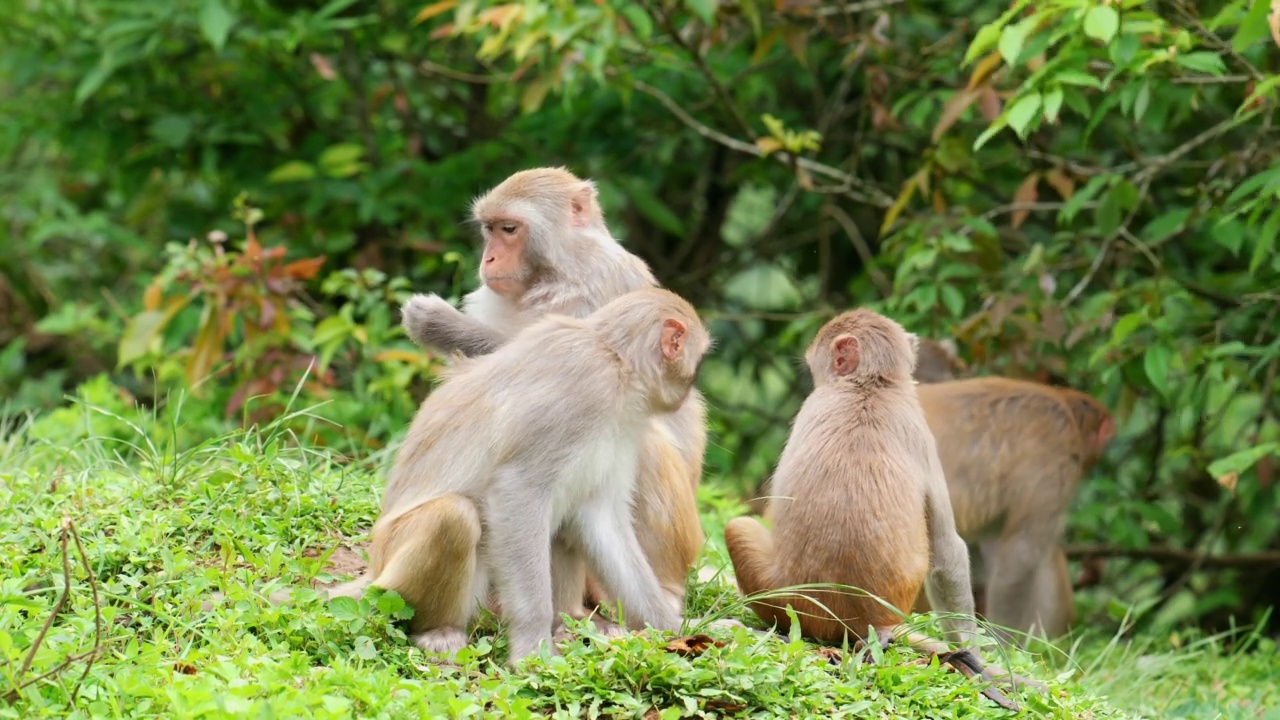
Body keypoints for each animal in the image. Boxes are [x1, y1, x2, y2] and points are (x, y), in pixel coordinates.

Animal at [345, 285, 716, 661]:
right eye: (697, 361)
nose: (689, 393)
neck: (617, 360)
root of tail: (374, 568)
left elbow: (602, 519)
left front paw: (671, 627)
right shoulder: (586, 388)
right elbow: (518, 488)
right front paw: (532, 648)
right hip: (394, 581)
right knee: (453, 518)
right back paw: (439, 631)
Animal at [394, 166, 706, 617]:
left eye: (509, 229)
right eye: (488, 229)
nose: (487, 259)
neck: (555, 271)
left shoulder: (598, 284)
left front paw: (437, 322)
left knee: (641, 443)